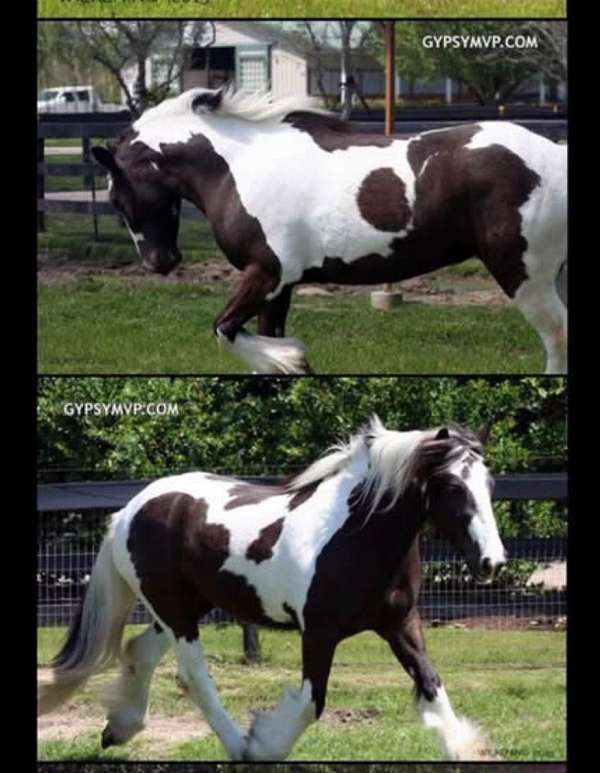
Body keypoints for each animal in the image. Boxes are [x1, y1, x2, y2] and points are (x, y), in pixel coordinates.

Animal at [38, 418, 506, 761]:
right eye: (453, 487)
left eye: (489, 484)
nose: (493, 562)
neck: (355, 535)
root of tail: (129, 511)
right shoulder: (319, 632)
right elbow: (311, 701)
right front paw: (264, 743)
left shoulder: (400, 623)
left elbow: (431, 682)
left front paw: (467, 749)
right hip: (175, 611)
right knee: (194, 677)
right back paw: (239, 747)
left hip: (183, 607)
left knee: (140, 651)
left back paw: (119, 729)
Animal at [91, 87, 567, 375]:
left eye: (115, 197)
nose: (159, 263)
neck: (237, 166)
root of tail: (554, 155)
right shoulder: (279, 286)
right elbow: (259, 338)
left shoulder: (265, 273)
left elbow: (225, 328)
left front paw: (293, 358)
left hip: (524, 273)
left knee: (557, 336)